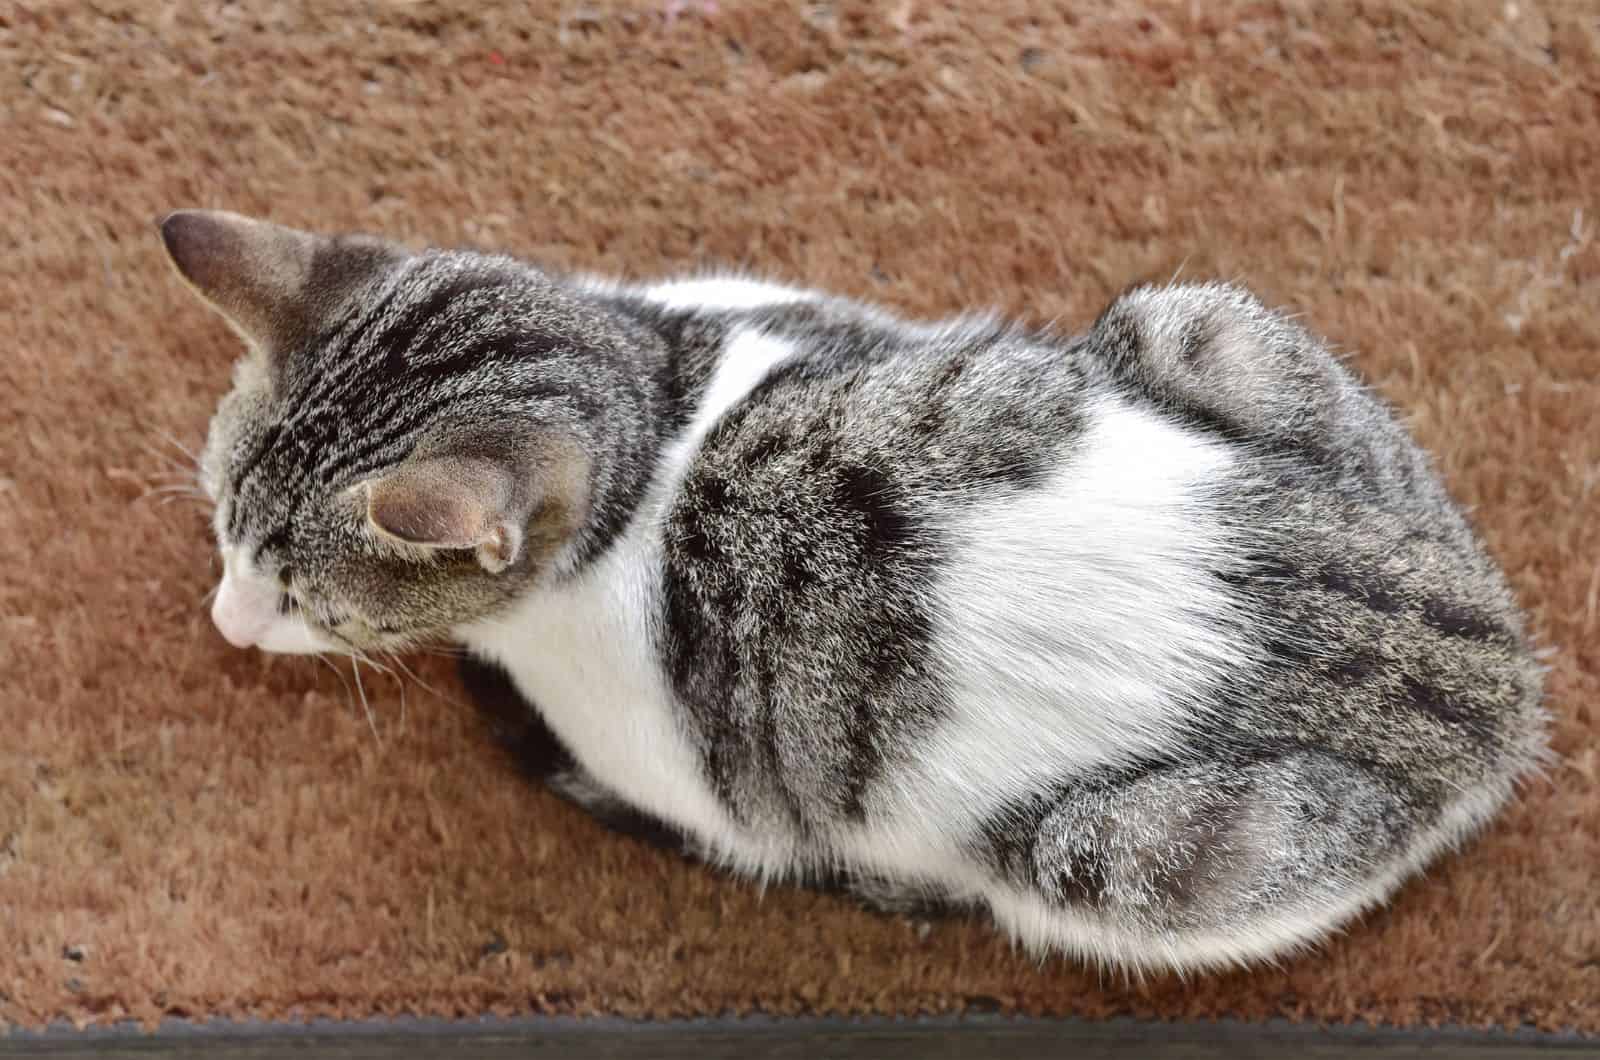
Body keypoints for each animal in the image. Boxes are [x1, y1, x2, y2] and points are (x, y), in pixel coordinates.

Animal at [156, 209, 1542, 979]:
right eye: (220, 524)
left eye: (306, 600)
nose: (227, 621)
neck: (655, 431)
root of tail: (1493, 671)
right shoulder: (809, 311)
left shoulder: (695, 782)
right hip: (1204, 324)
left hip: (1122, 859)